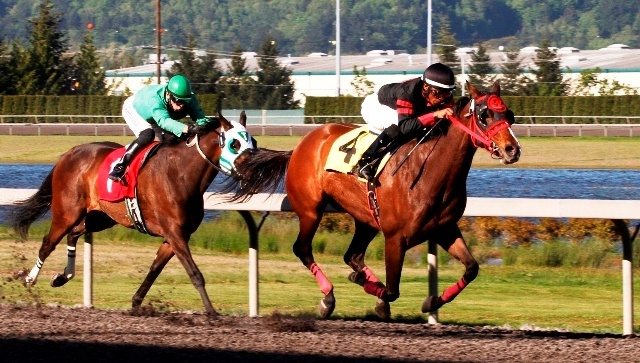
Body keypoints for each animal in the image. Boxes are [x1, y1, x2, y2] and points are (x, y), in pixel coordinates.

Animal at [11, 112, 255, 318]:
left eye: (252, 141)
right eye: (234, 144)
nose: (254, 169)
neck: (181, 174)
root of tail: (70, 153)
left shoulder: (175, 236)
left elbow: (155, 269)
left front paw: (137, 302)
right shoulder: (175, 233)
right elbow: (195, 274)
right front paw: (212, 312)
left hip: (101, 217)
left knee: (74, 234)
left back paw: (62, 276)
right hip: (67, 212)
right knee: (48, 243)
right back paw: (30, 279)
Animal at [232, 81, 524, 320]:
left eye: (509, 114)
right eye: (485, 115)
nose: (512, 149)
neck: (429, 170)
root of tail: (299, 146)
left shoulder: (444, 229)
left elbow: (472, 268)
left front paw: (431, 302)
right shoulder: (396, 238)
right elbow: (393, 290)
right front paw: (377, 295)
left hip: (366, 218)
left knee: (352, 255)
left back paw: (362, 279)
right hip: (310, 210)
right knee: (303, 249)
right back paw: (328, 299)